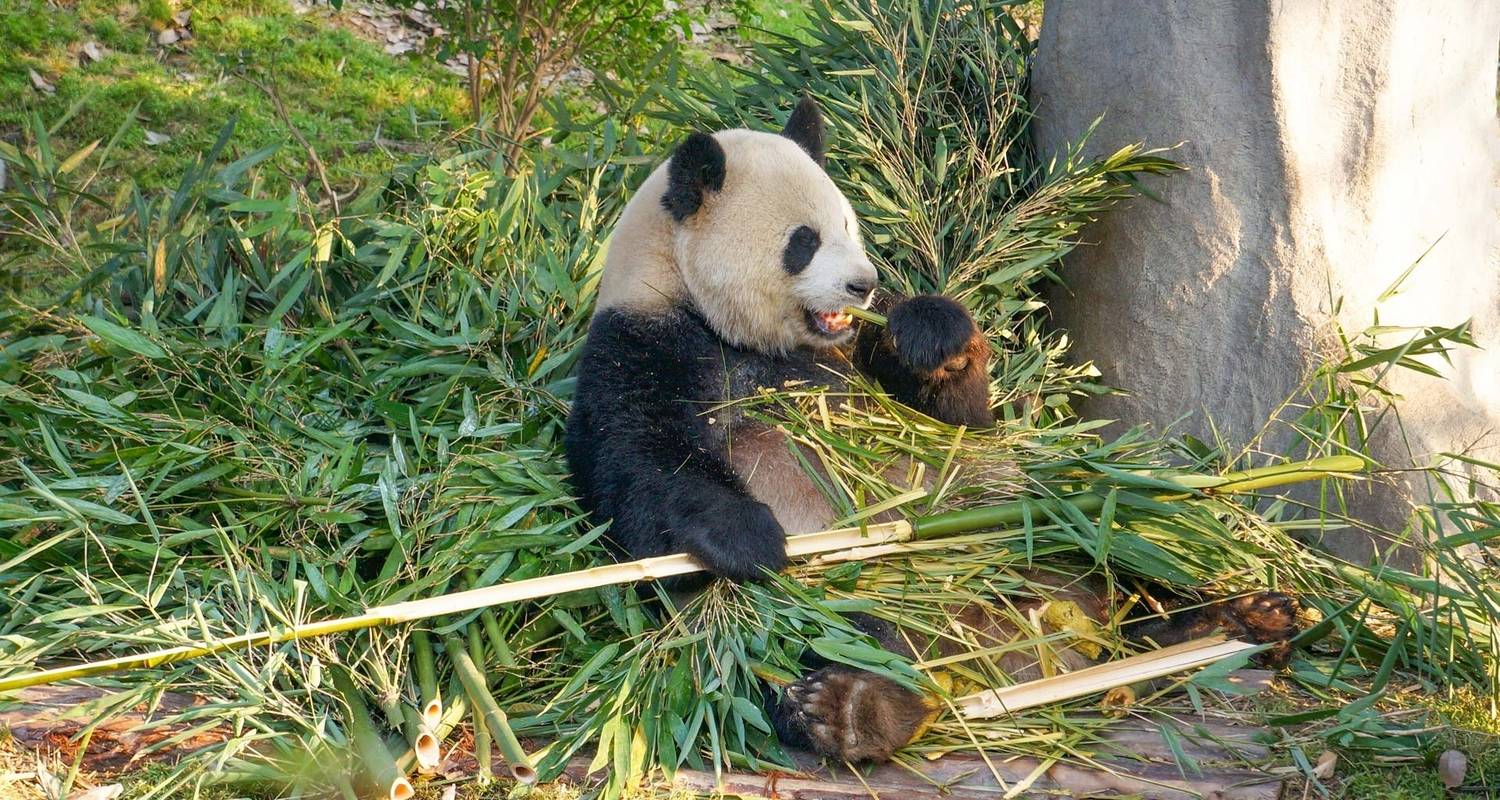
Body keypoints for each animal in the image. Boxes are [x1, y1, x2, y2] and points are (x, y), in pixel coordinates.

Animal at [564, 98, 1302, 762]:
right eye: (804, 242)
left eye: (850, 226)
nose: (862, 285)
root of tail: (1047, 646)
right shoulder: (642, 348)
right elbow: (641, 470)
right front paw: (750, 536)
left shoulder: (858, 358)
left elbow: (959, 423)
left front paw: (932, 334)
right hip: (842, 595)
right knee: (843, 633)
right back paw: (854, 709)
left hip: (1045, 522)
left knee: (1124, 537)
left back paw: (1237, 615)